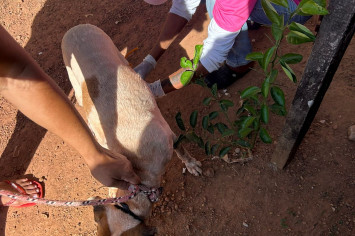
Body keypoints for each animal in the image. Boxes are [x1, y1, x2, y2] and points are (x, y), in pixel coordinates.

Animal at [62, 24, 203, 235]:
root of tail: (75, 28)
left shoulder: (169, 138)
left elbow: (182, 150)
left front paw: (191, 164)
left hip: (113, 50)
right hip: (77, 89)